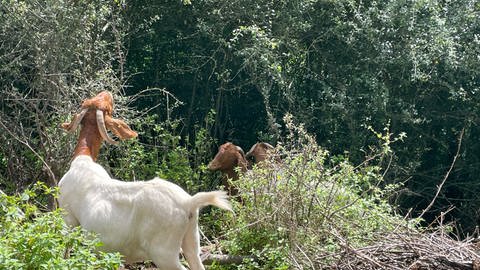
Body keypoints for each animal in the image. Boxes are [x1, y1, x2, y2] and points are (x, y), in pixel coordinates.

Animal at [59, 92, 232, 268]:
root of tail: (188, 203)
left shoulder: (68, 218)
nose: (107, 93)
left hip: (164, 253)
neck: (82, 161)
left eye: (107, 108)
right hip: (191, 239)